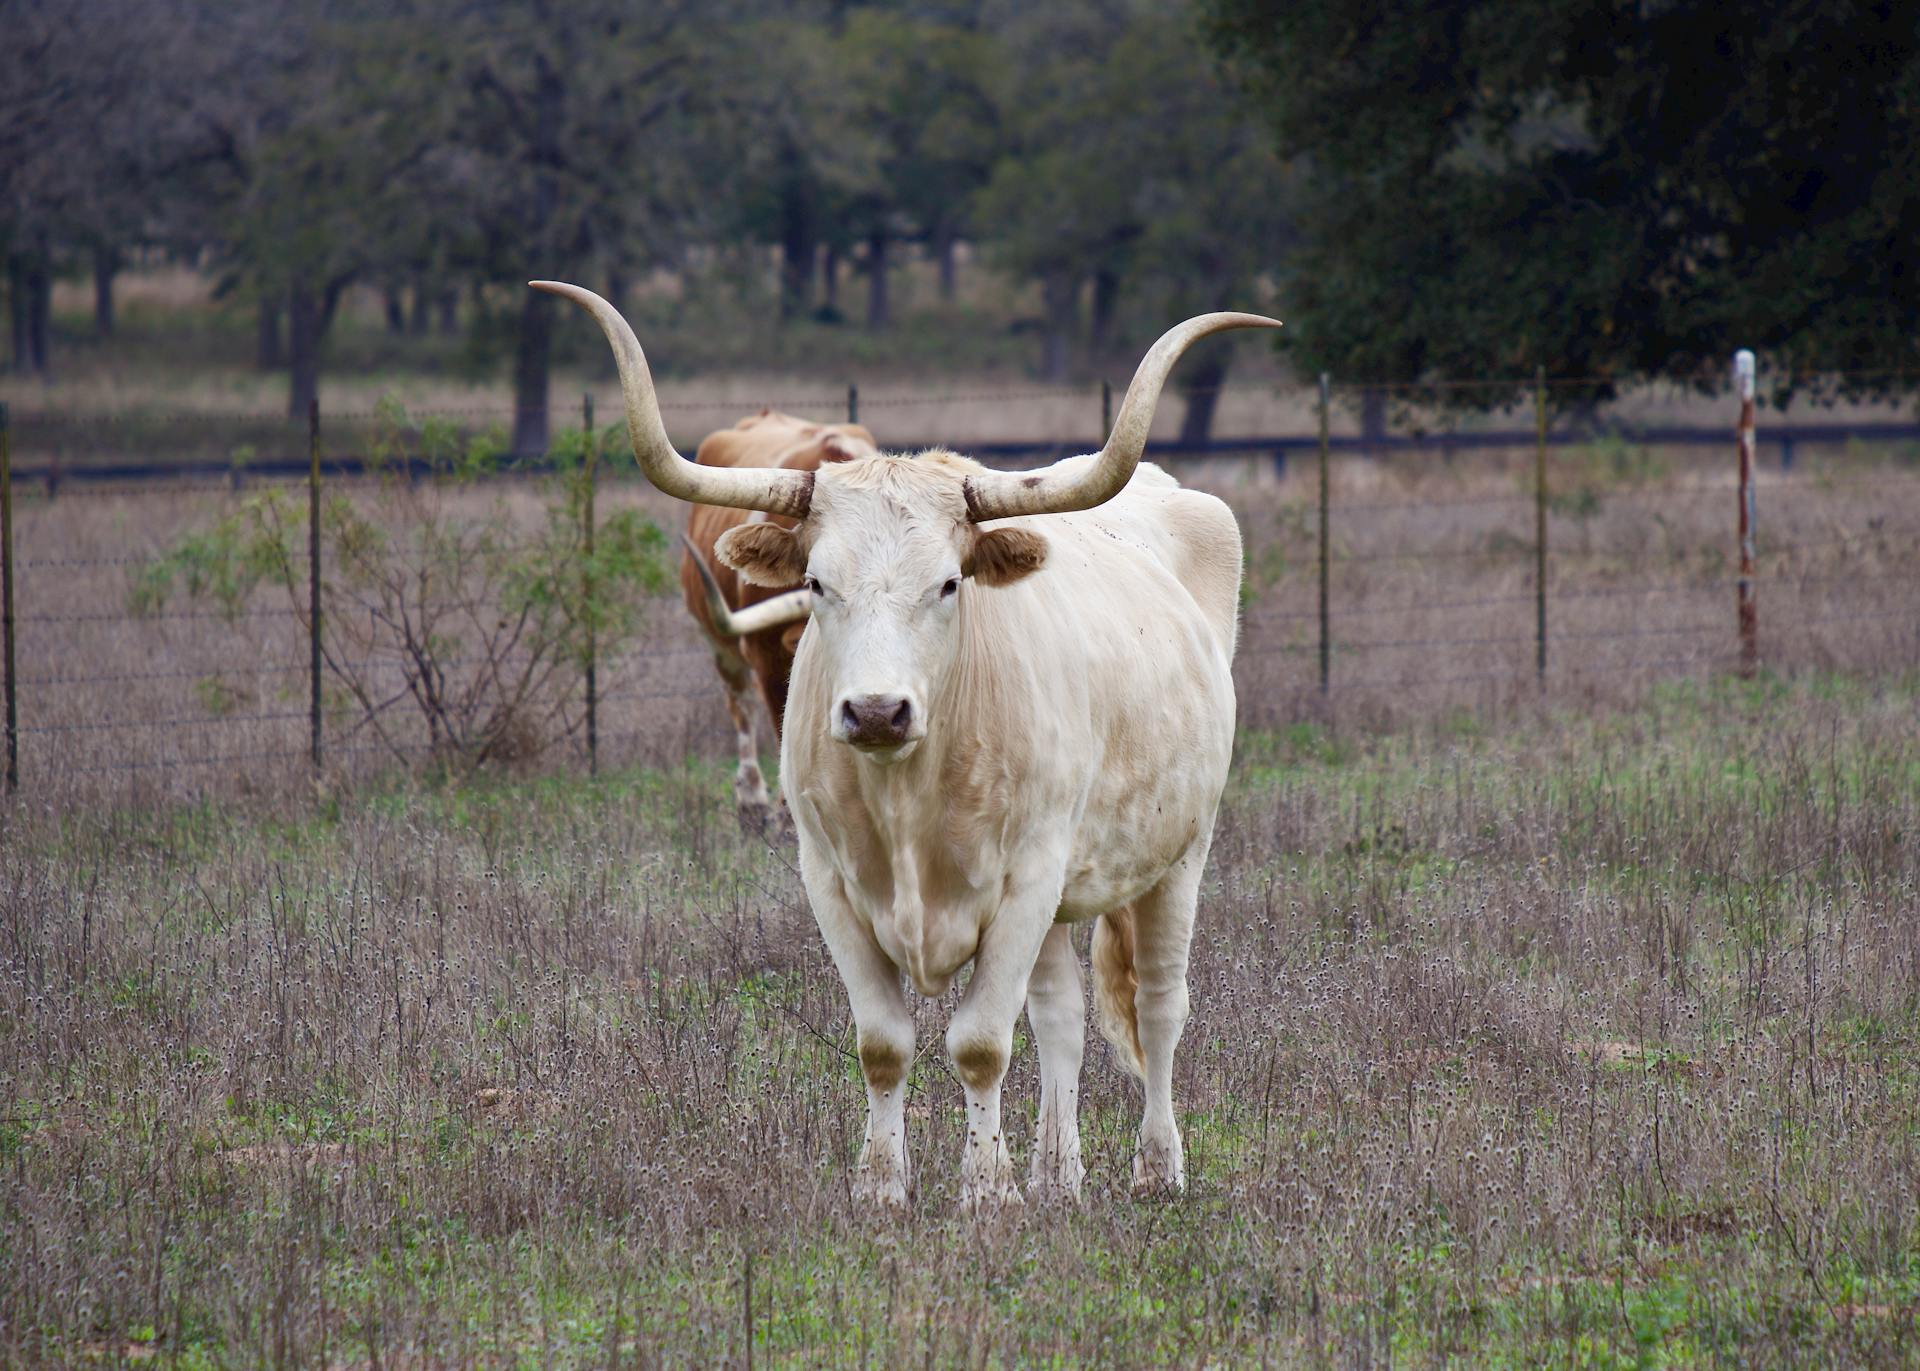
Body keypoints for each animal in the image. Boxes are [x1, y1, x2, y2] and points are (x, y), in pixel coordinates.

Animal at [533, 280, 1282, 1205]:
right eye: (817, 581)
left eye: (950, 582)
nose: (877, 711)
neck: (907, 795)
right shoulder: (831, 881)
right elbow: (885, 1042)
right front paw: (886, 1187)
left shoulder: (1025, 879)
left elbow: (981, 1044)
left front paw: (986, 1189)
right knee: (1063, 1017)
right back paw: (1059, 1174)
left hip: (1181, 850)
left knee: (1160, 1006)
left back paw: (1155, 1166)